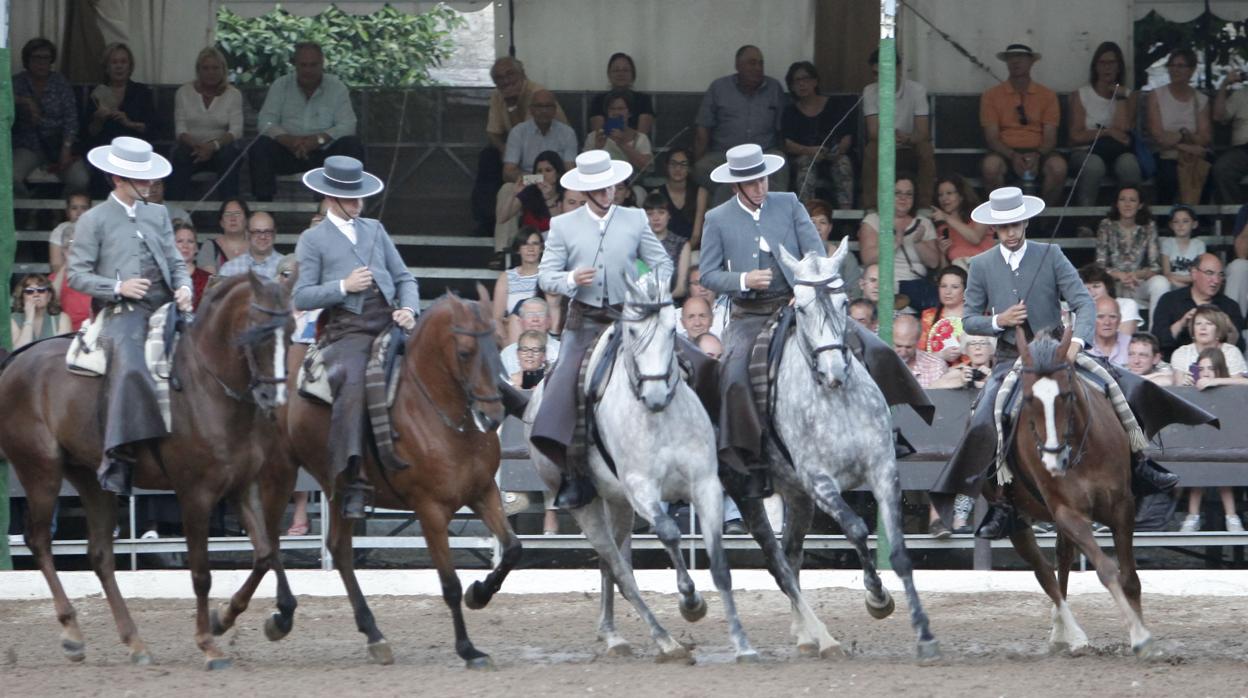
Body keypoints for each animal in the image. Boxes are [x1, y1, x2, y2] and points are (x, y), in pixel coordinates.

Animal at [0, 274, 294, 674]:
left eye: (291, 332)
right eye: (256, 331)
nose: (273, 399)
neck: (208, 386)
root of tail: (17, 359)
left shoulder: (242, 487)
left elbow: (265, 554)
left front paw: (233, 618)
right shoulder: (195, 495)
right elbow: (201, 574)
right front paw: (209, 645)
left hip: (91, 479)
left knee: (100, 554)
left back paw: (135, 642)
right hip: (41, 470)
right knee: (40, 541)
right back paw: (72, 634)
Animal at [217, 287, 519, 669]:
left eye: (498, 344)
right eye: (465, 352)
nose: (492, 415)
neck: (438, 414)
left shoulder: (483, 492)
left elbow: (512, 550)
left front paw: (478, 593)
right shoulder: (430, 510)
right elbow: (449, 584)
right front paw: (468, 648)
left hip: (340, 486)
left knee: (338, 549)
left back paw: (372, 632)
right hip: (279, 472)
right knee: (270, 542)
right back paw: (274, 615)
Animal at [521, 270, 753, 664]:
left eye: (672, 331)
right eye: (631, 332)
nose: (656, 395)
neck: (659, 417)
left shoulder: (705, 485)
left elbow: (720, 565)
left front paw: (742, 642)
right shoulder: (642, 488)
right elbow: (670, 533)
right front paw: (690, 601)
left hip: (617, 504)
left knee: (611, 565)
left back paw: (612, 634)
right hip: (587, 505)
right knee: (620, 570)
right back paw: (665, 642)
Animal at [728, 243, 938, 664]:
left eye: (843, 302)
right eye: (804, 308)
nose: (834, 371)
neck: (836, 399)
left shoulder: (882, 471)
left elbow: (900, 552)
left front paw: (923, 633)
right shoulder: (820, 481)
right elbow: (856, 528)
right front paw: (877, 598)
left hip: (796, 495)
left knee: (791, 557)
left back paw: (806, 634)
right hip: (747, 493)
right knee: (777, 562)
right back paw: (822, 637)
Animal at [998, 324, 1153, 659]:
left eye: (1066, 394)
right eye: (1028, 399)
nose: (1053, 461)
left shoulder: (1122, 506)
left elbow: (1130, 578)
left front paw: (1141, 633)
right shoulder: (1068, 513)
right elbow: (1107, 570)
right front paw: (1138, 634)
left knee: (1063, 558)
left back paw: (1062, 632)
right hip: (1016, 519)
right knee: (1045, 573)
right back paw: (1072, 635)